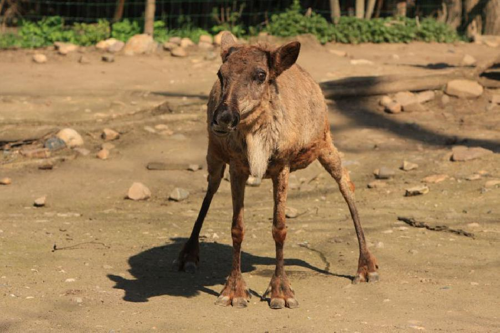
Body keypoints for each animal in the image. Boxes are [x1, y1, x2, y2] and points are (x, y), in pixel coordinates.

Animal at [176, 32, 378, 308]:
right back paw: (188, 254)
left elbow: (280, 228)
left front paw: (281, 291)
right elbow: (237, 228)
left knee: (346, 183)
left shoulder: (283, 164)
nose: (223, 117)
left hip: (325, 141)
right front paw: (234, 290)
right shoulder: (236, 165)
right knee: (210, 188)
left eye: (261, 74)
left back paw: (366, 265)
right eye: (220, 73)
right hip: (214, 152)